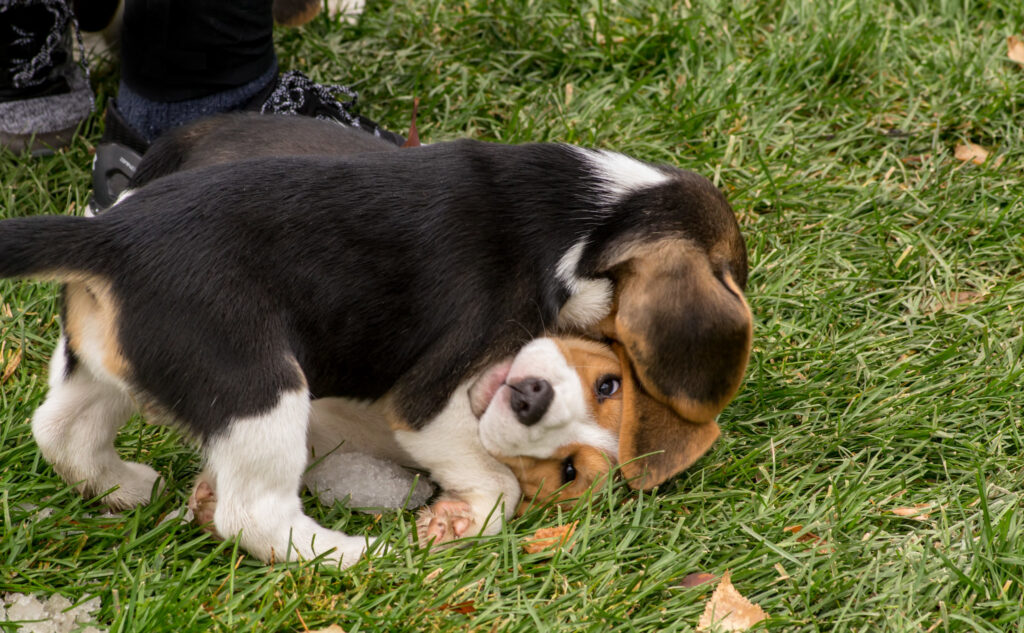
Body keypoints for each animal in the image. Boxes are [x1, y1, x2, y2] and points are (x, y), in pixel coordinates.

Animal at [0, 113, 753, 565]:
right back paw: (359, 555)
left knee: (60, 430)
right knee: (255, 515)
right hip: (261, 388)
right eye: (608, 376)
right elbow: (494, 482)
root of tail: (113, 237)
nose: (533, 398)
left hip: (105, 363)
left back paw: (125, 486)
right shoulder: (428, 400)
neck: (589, 216)